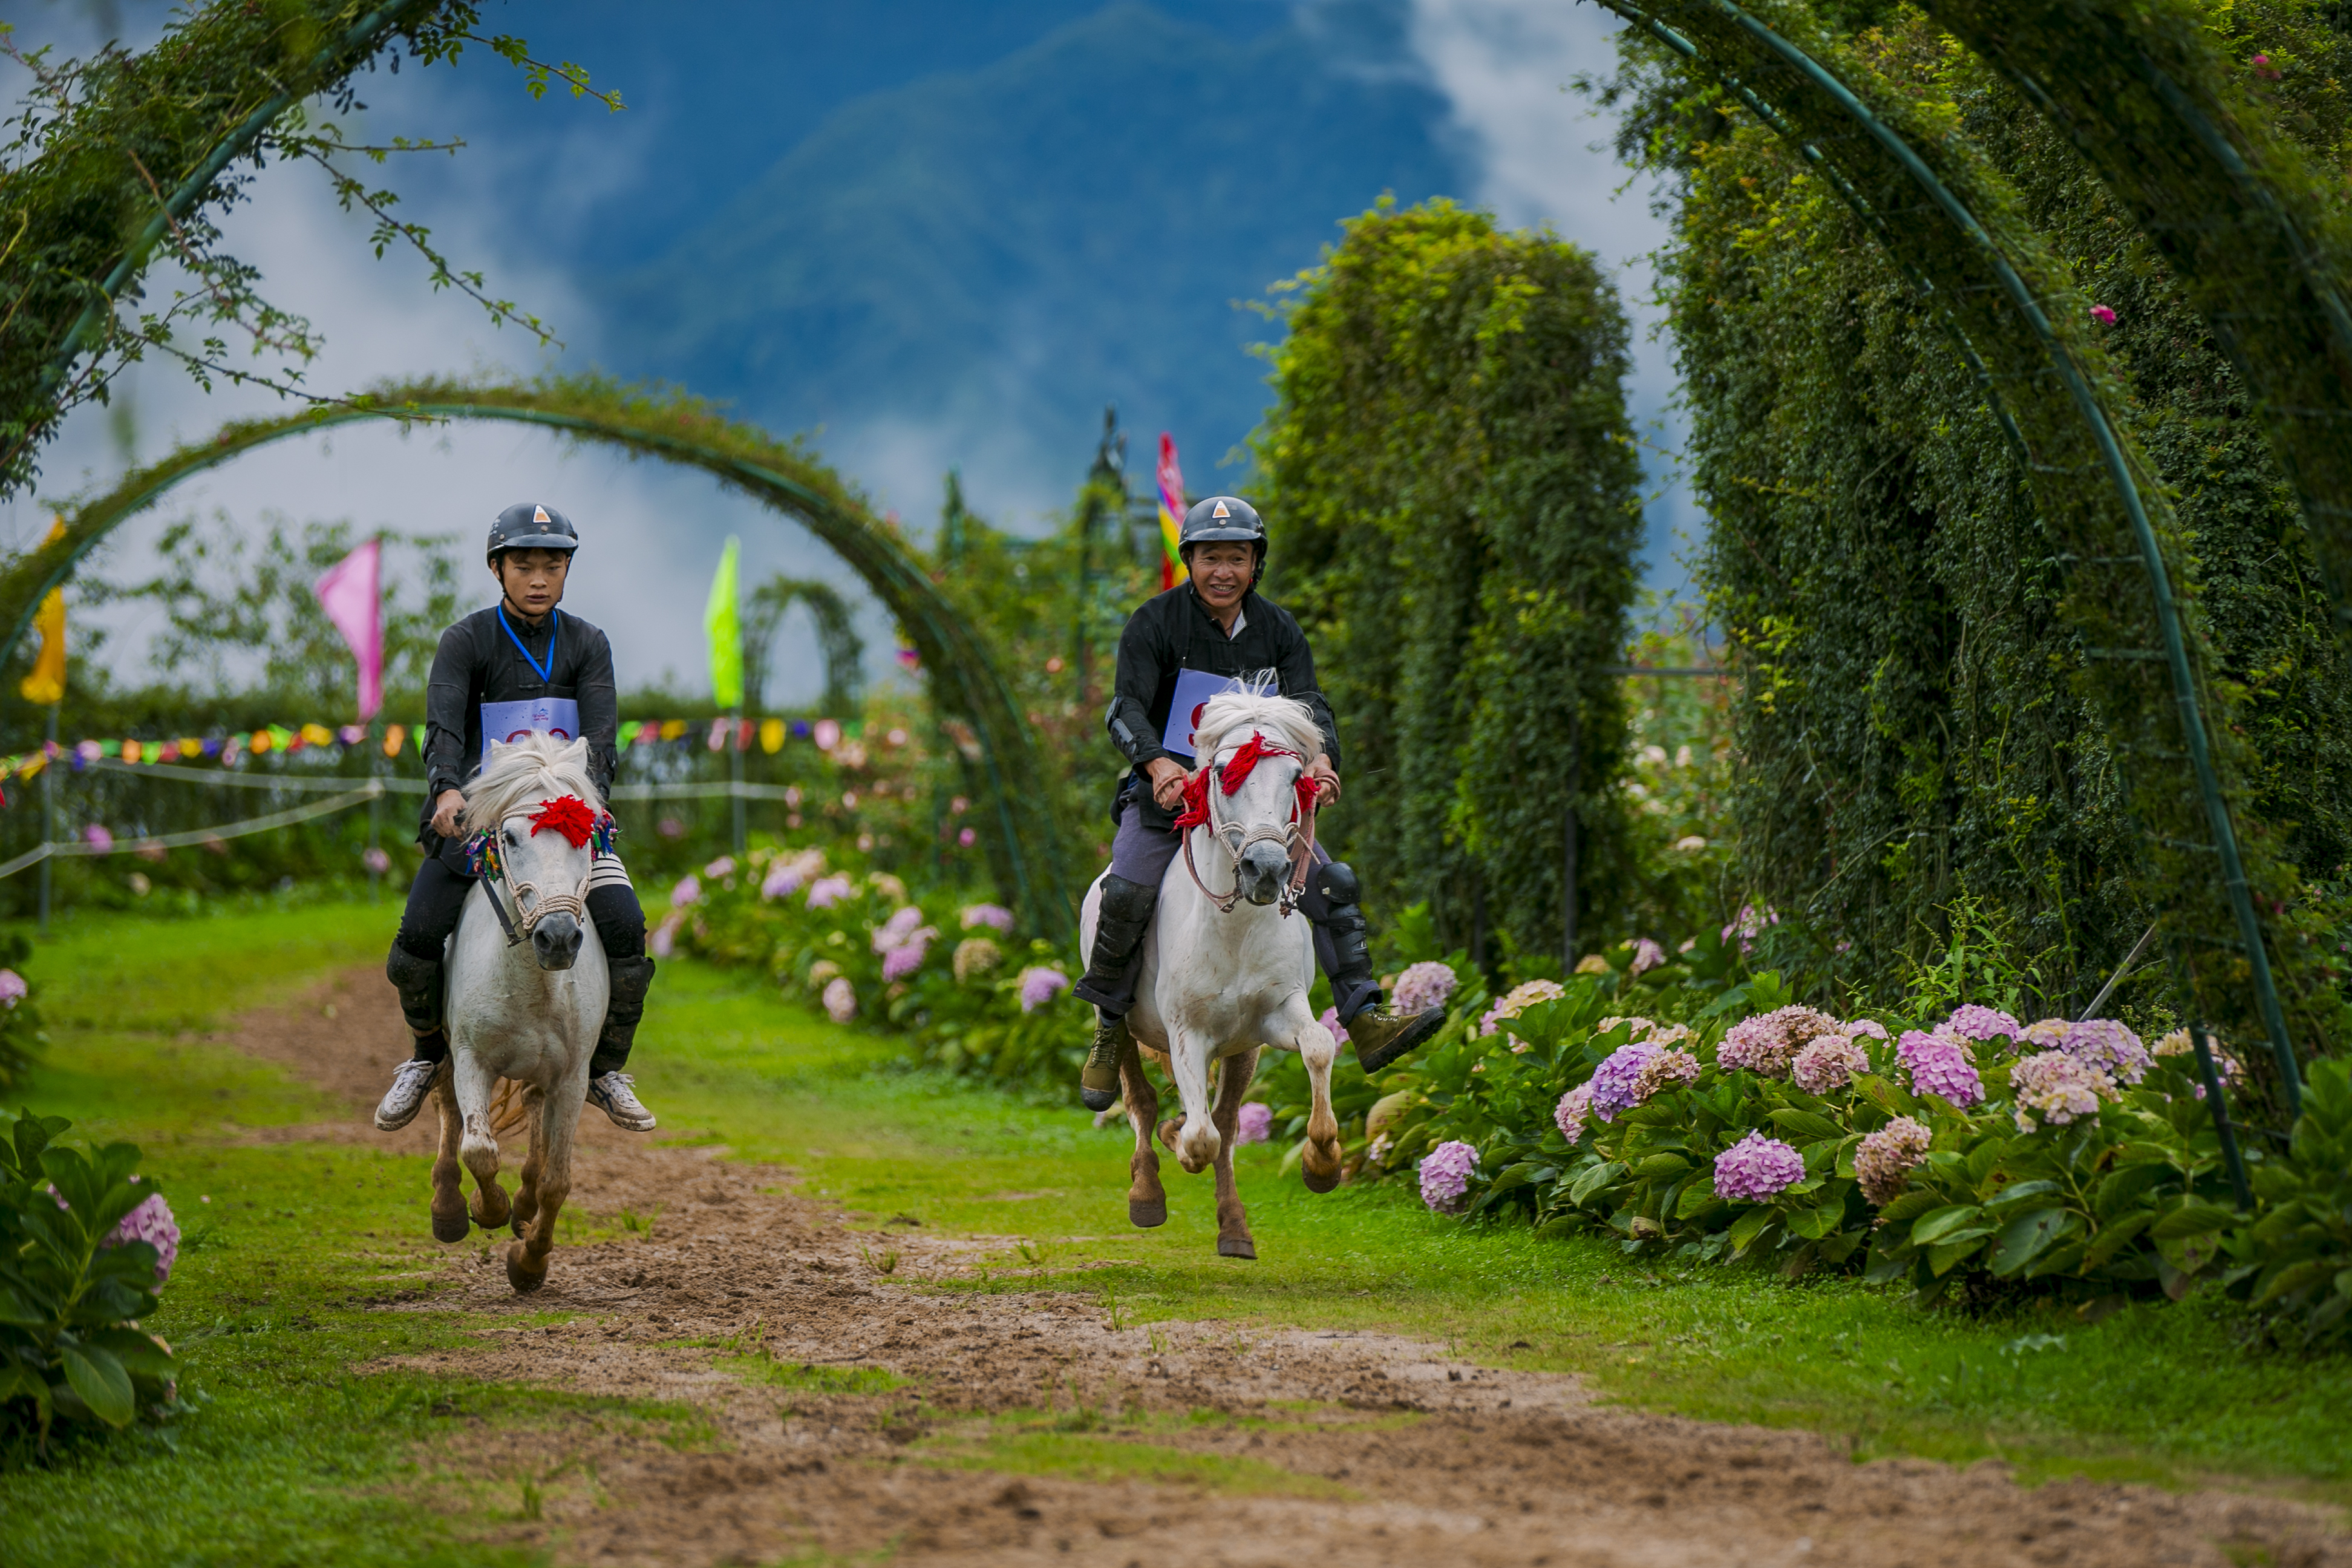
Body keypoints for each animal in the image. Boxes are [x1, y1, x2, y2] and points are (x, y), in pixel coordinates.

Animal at [430, 742, 616, 1298]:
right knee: (446, 1105)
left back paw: (525, 1206)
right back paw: (449, 1208)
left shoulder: (572, 1077)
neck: (532, 982)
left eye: (586, 837)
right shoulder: (472, 1058)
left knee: (535, 1113)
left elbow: (559, 1181)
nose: (558, 938)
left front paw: (530, 1261)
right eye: (510, 837)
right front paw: (486, 1209)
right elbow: (479, 1149)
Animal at [1077, 691, 1345, 1259]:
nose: (1266, 869)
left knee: (1225, 1121)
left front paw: (1323, 1162)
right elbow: (1198, 1138)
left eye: (1297, 776)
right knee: (1141, 1102)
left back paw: (1235, 1230)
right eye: (1223, 771)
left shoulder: (1276, 1014)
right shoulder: (1187, 1033)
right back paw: (1146, 1193)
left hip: (1244, 1049)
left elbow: (1317, 1047)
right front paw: (1177, 1140)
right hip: (1127, 1028)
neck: (1235, 930)